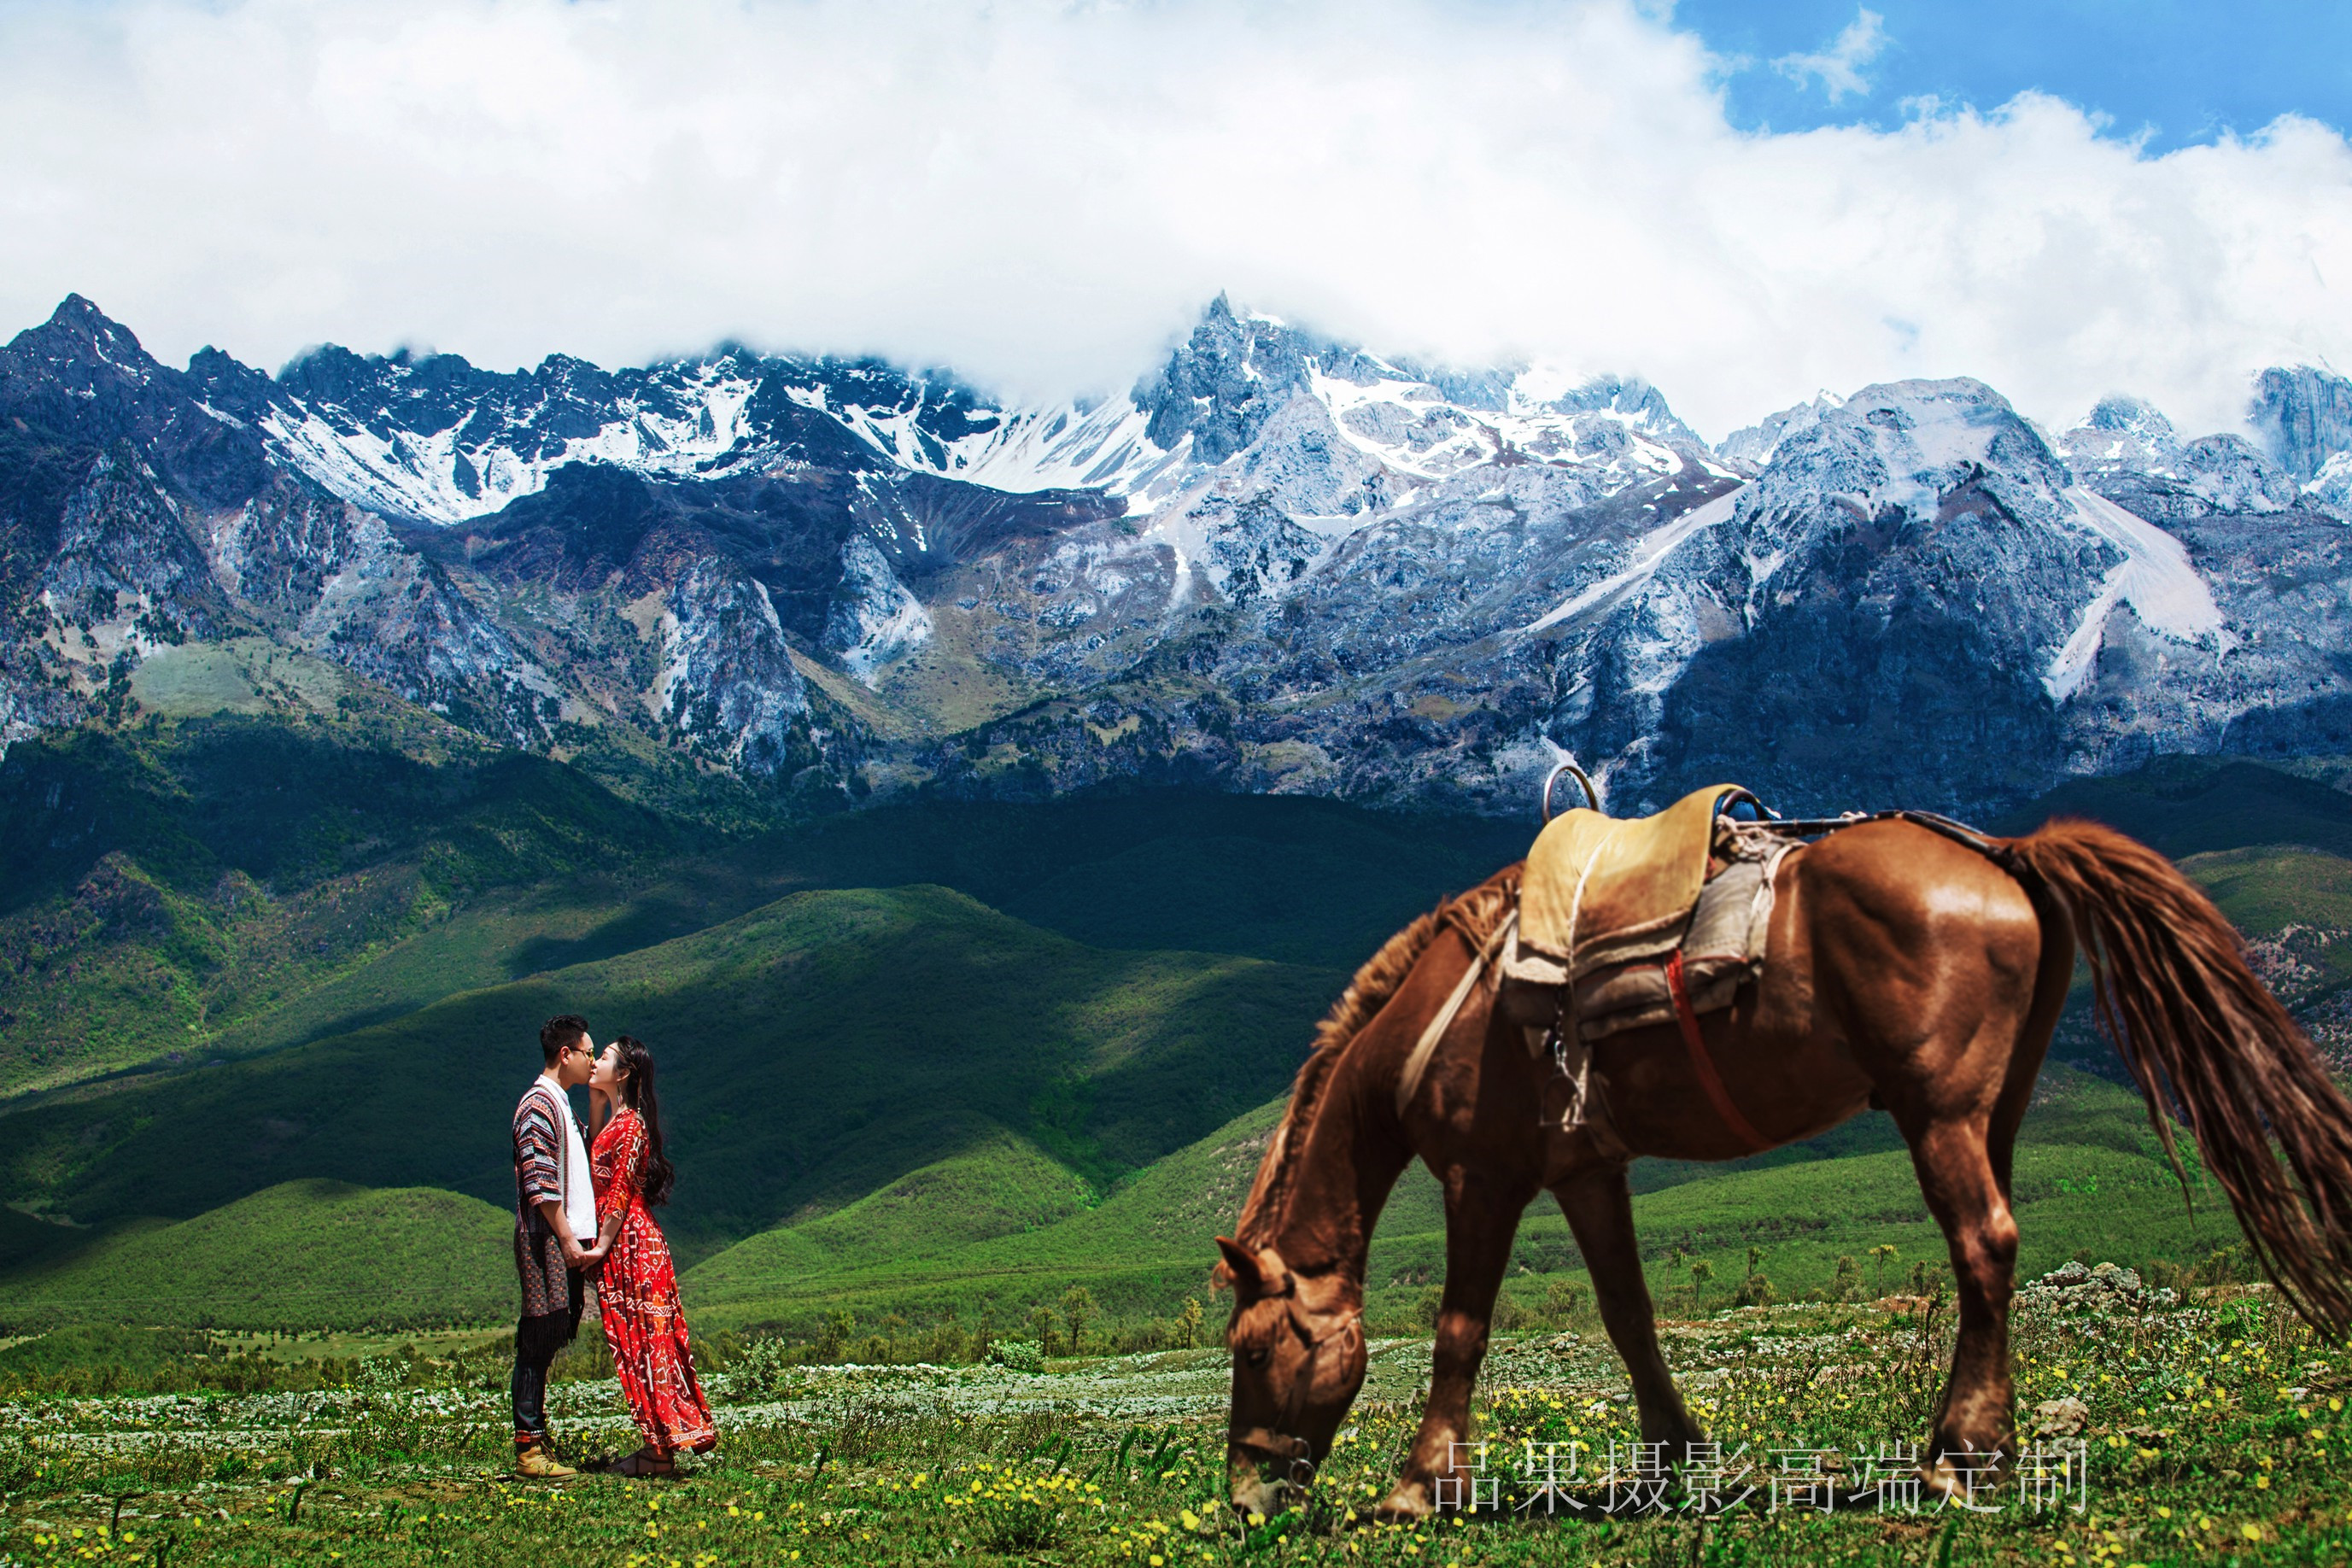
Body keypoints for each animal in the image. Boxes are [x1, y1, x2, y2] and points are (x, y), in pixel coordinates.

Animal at [1223, 822, 2342, 1523]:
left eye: (1252, 1349)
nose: (1245, 1499)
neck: (1446, 1018)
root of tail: (2004, 859)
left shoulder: (1482, 1175)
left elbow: (1460, 1331)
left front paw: (1418, 1486)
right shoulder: (1587, 1170)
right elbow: (1627, 1314)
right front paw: (1668, 1460)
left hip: (1938, 1114)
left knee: (1983, 1246)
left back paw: (1959, 1457)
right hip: (1997, 1112)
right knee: (1990, 1257)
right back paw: (1977, 1444)